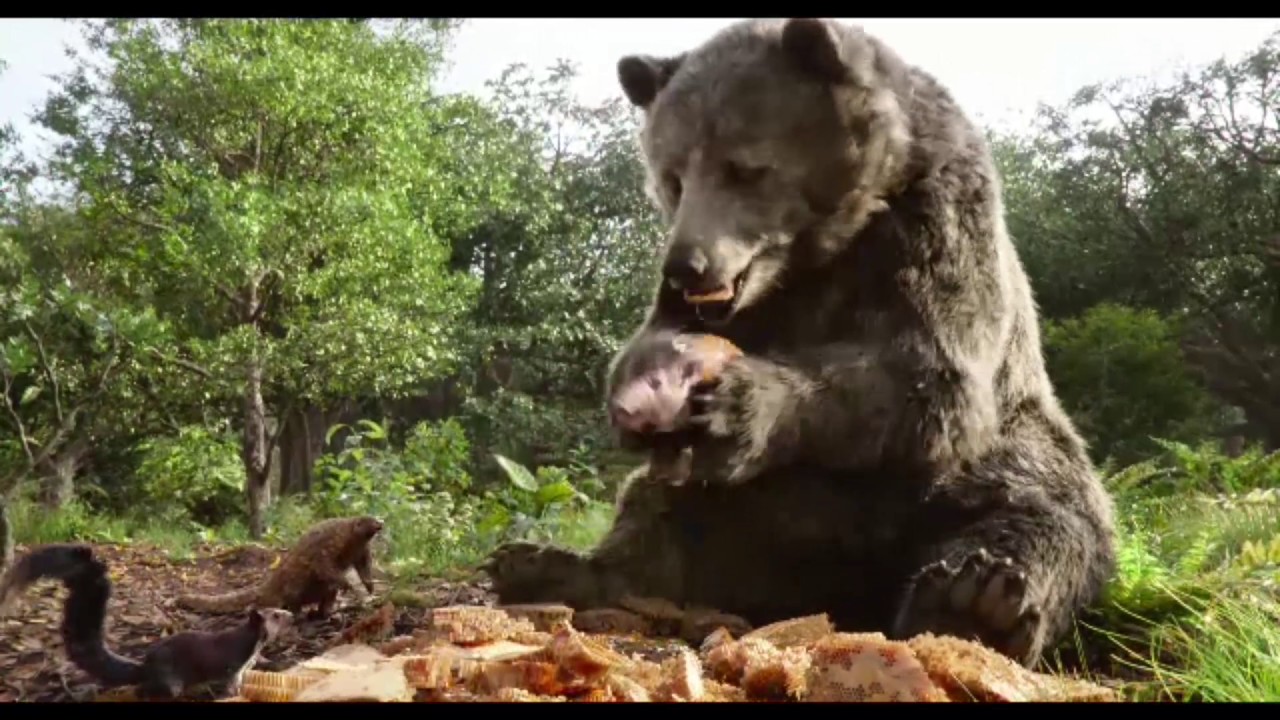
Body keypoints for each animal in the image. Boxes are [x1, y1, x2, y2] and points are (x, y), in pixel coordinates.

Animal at [481, 18, 1121, 666]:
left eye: (745, 168)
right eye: (673, 177)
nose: (687, 266)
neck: (822, 248)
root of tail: (841, 591)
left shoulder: (936, 220)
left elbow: (929, 372)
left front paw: (741, 401)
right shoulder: (739, 305)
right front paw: (639, 388)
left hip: (1007, 456)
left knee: (1044, 514)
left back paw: (976, 601)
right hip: (751, 509)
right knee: (661, 511)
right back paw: (544, 564)